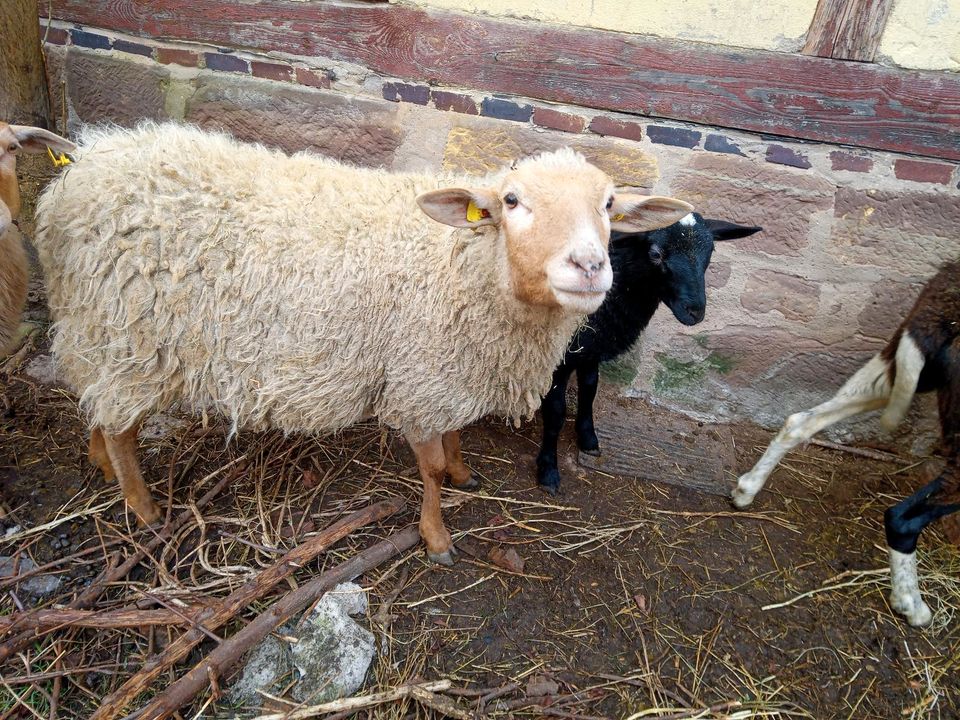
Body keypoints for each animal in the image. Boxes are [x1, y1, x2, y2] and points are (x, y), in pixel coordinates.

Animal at [37, 122, 692, 564]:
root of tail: (80, 170)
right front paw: (436, 535)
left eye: (608, 205)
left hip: (98, 335)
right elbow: (429, 468)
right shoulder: (421, 374)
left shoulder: (448, 371)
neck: (467, 265)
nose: (590, 266)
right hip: (127, 335)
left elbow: (454, 438)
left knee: (97, 404)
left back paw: (100, 463)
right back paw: (143, 508)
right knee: (122, 427)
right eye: (511, 201)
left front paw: (465, 473)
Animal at [536, 212, 760, 496]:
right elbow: (555, 413)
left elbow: (589, 391)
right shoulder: (559, 357)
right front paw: (548, 470)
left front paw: (588, 438)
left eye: (710, 251)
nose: (695, 312)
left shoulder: (591, 348)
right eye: (656, 254)